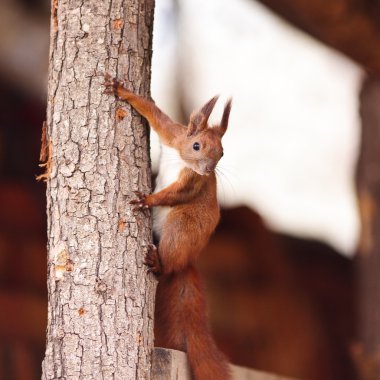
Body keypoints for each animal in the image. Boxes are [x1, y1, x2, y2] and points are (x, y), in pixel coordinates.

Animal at [105, 74, 233, 380]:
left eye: (222, 153)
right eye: (196, 145)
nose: (208, 169)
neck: (183, 159)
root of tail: (188, 261)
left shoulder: (192, 183)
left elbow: (174, 194)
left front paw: (147, 200)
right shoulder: (172, 134)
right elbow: (154, 114)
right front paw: (122, 90)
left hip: (181, 227)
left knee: (168, 262)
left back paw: (158, 262)